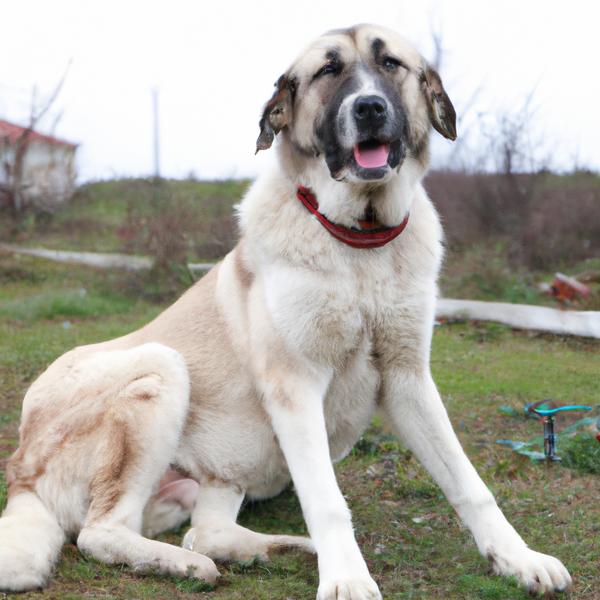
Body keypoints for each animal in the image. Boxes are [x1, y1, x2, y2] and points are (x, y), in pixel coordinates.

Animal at [0, 23, 572, 600]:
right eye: (328, 70)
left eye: (390, 64)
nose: (369, 107)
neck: (360, 243)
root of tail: (19, 472)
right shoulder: (294, 386)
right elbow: (327, 501)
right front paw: (347, 579)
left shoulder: (408, 378)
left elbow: (468, 483)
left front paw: (518, 558)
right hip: (161, 367)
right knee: (103, 533)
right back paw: (189, 565)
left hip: (225, 470)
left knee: (205, 531)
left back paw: (282, 549)